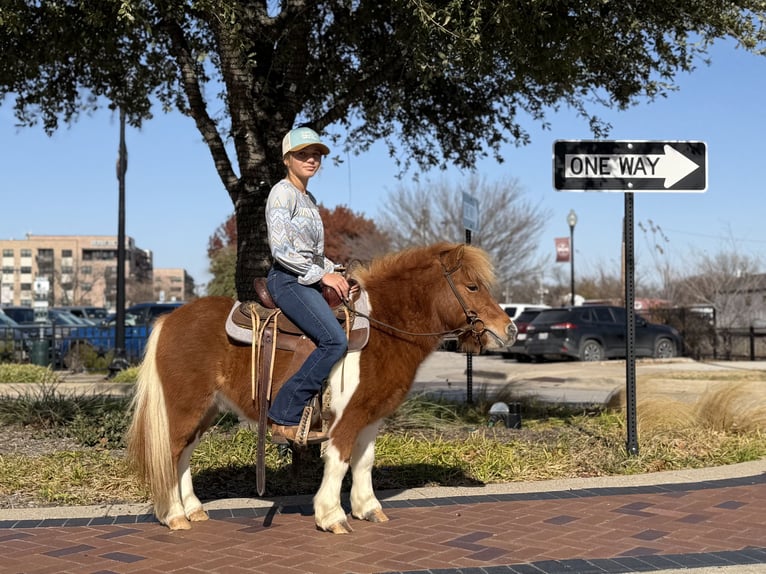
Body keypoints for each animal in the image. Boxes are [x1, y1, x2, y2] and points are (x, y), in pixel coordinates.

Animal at [126, 242, 516, 533]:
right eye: (472, 287)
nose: (509, 330)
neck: (383, 327)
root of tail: (168, 319)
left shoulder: (371, 416)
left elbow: (363, 462)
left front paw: (367, 508)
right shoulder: (346, 417)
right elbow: (339, 461)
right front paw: (332, 516)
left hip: (205, 410)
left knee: (183, 455)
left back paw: (192, 509)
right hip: (184, 408)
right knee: (171, 453)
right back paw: (174, 515)